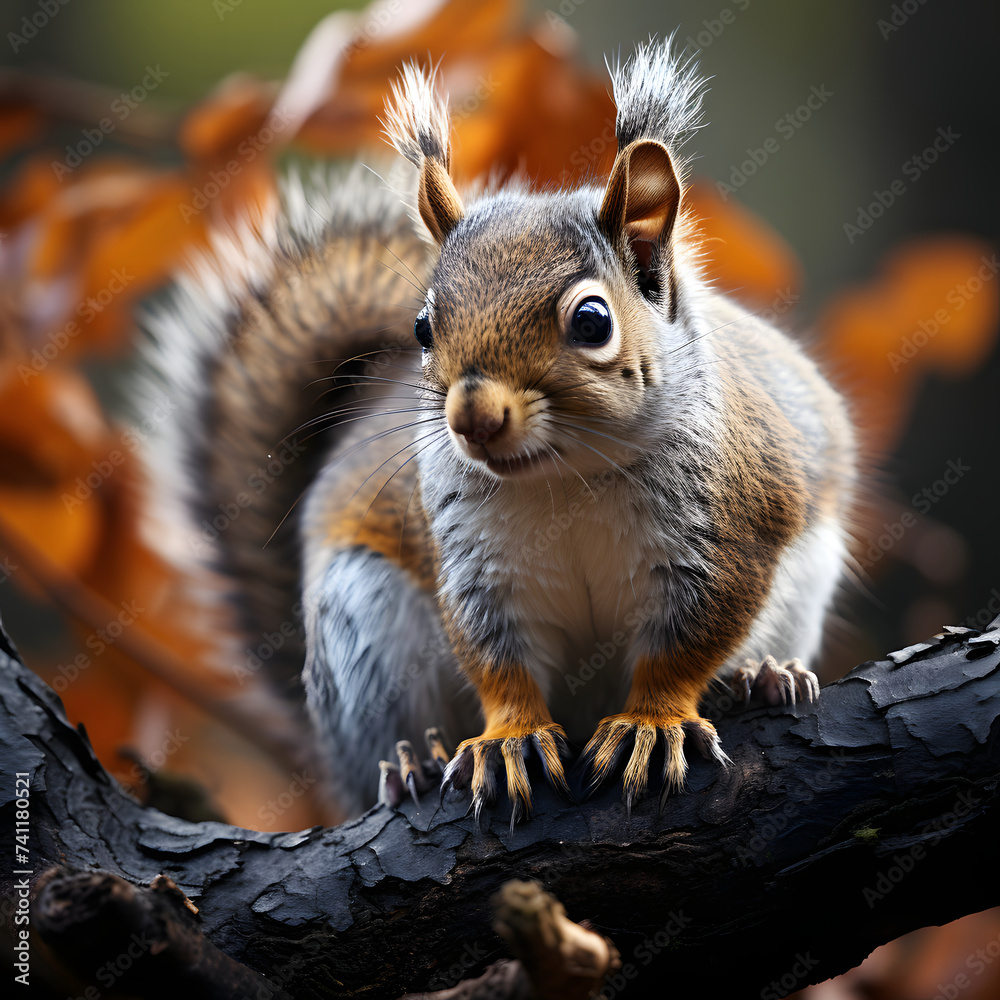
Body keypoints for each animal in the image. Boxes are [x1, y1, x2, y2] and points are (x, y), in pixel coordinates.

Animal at [141, 40, 856, 821]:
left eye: (593, 321)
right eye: (423, 328)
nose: (472, 417)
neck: (566, 477)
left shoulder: (731, 528)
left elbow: (687, 646)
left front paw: (652, 719)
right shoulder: (472, 557)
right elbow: (497, 659)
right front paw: (510, 739)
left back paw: (761, 676)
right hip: (360, 616)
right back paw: (411, 766)